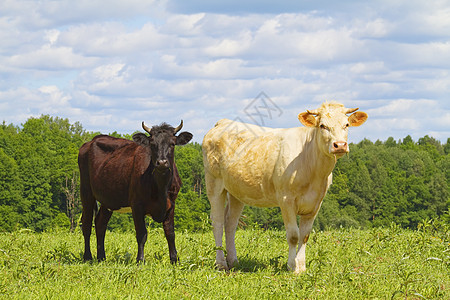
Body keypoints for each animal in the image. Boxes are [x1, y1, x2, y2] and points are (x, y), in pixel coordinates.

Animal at [79, 120, 192, 262]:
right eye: (152, 144)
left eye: (172, 144)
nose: (161, 162)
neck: (161, 187)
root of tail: (91, 141)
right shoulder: (137, 205)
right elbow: (141, 234)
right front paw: (140, 260)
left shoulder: (171, 205)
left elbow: (170, 233)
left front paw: (174, 260)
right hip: (86, 191)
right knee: (87, 224)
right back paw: (88, 257)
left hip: (108, 199)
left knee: (100, 224)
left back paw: (101, 257)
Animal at [202, 102, 368, 274]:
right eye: (322, 126)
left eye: (346, 124)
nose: (340, 145)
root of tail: (223, 122)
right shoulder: (286, 199)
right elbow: (293, 235)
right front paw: (292, 266)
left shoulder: (316, 203)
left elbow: (305, 235)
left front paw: (301, 267)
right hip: (214, 184)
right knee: (217, 222)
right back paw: (221, 263)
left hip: (237, 192)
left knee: (230, 223)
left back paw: (234, 261)